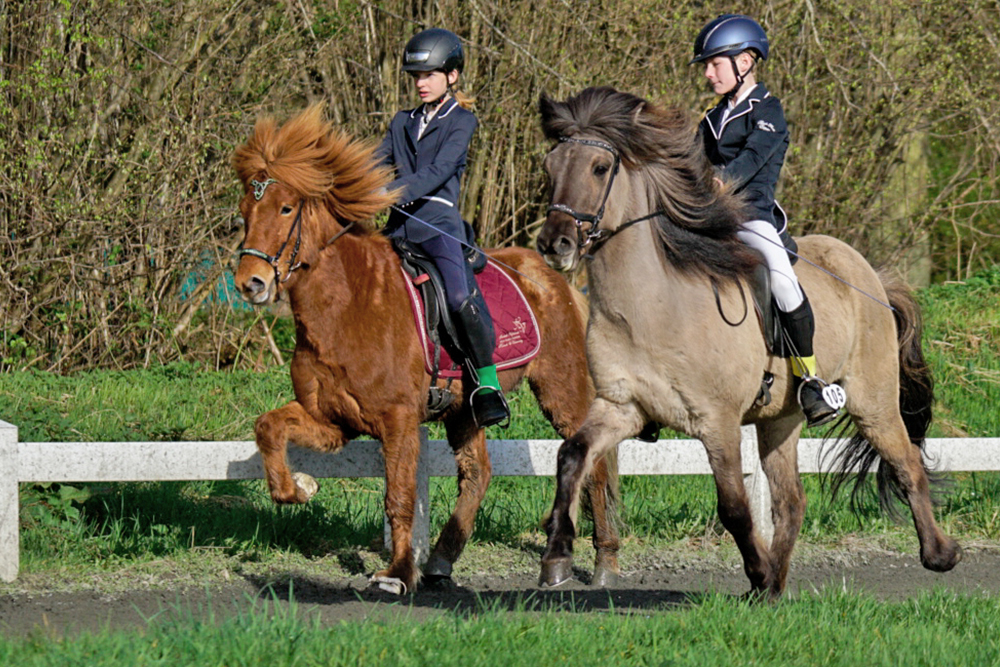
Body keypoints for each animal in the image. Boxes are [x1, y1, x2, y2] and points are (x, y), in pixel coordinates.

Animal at [233, 104, 620, 596]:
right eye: (246, 210)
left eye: (285, 208)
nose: (251, 283)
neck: (347, 304)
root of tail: (559, 281)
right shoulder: (333, 420)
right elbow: (268, 428)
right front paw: (300, 487)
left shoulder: (398, 419)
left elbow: (398, 496)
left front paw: (397, 574)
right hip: (465, 410)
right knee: (477, 474)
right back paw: (440, 560)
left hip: (561, 389)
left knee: (595, 462)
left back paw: (602, 561)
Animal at [532, 88, 960, 600]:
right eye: (550, 165)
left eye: (599, 168)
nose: (555, 244)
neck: (651, 306)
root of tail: (871, 275)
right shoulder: (622, 406)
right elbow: (571, 456)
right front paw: (556, 555)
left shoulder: (717, 422)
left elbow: (734, 506)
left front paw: (755, 572)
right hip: (782, 417)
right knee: (791, 501)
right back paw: (775, 586)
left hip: (871, 401)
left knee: (906, 464)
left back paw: (939, 554)